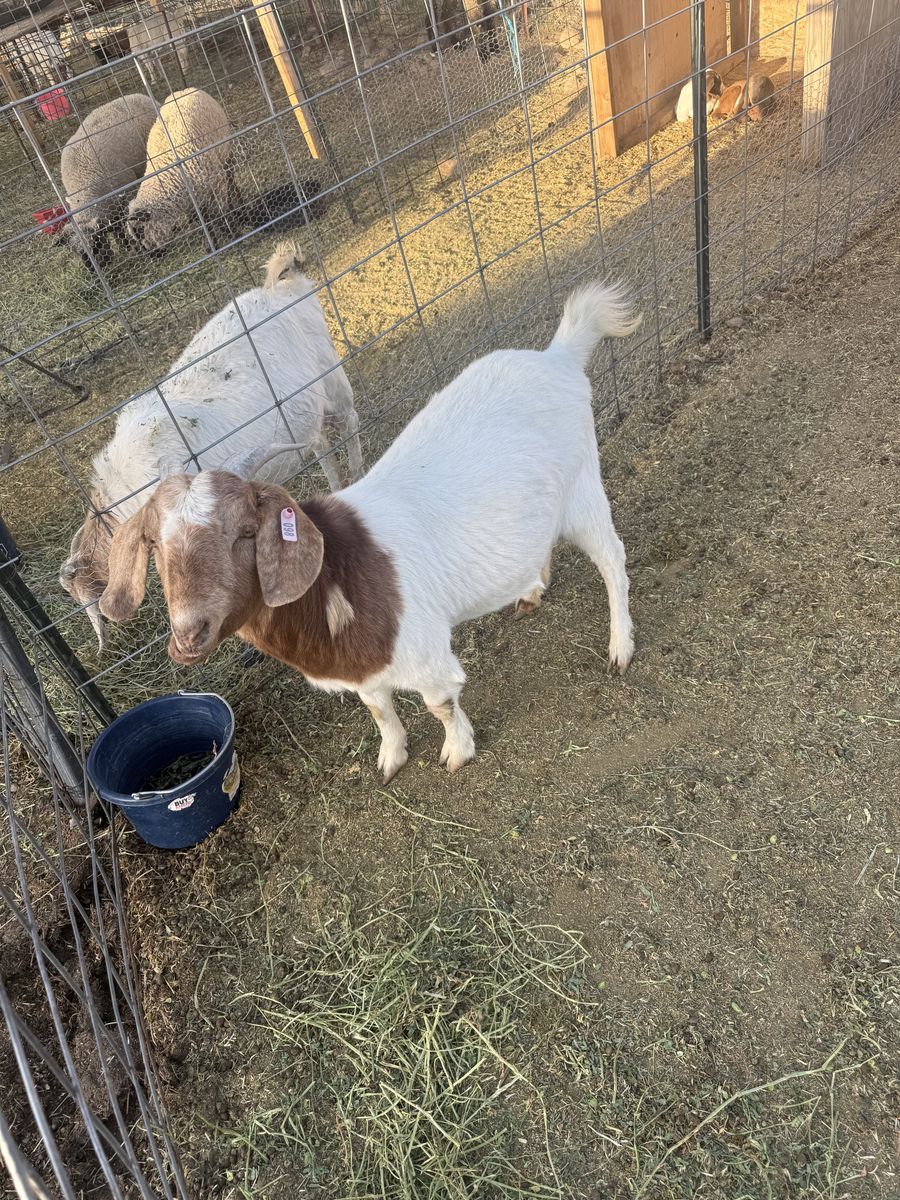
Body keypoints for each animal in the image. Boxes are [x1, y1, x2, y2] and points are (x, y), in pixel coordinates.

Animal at [99, 282, 640, 782]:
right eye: (155, 546)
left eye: (246, 532)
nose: (189, 633)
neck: (334, 575)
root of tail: (558, 356)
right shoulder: (361, 670)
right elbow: (378, 710)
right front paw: (392, 757)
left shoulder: (424, 654)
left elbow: (440, 704)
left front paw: (457, 751)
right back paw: (531, 589)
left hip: (582, 490)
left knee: (613, 561)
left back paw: (620, 647)